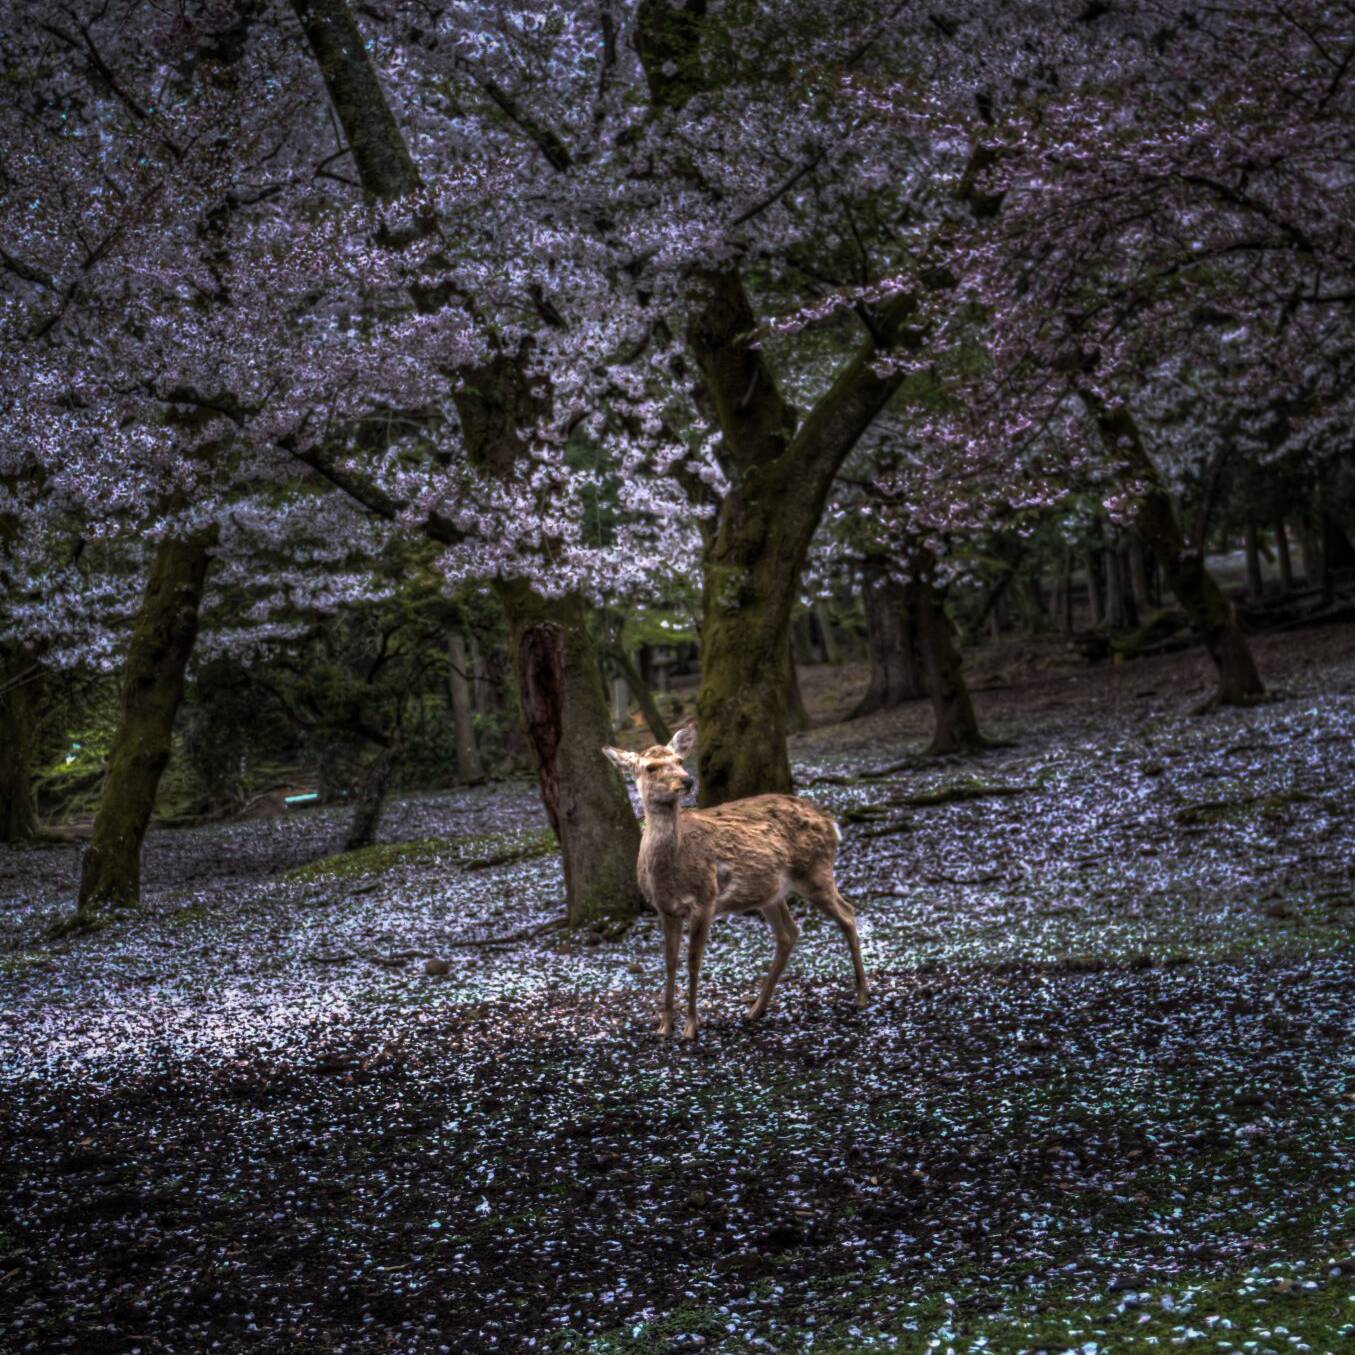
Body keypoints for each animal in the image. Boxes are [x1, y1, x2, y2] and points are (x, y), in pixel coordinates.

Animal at [602, 725, 868, 1039]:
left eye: (679, 760)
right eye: (651, 767)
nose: (687, 780)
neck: (669, 871)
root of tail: (831, 822)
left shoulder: (705, 898)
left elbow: (694, 960)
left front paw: (691, 1027)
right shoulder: (664, 908)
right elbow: (669, 962)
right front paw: (664, 1026)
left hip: (815, 870)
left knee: (847, 913)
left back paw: (862, 995)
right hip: (771, 893)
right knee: (789, 933)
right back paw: (755, 1009)